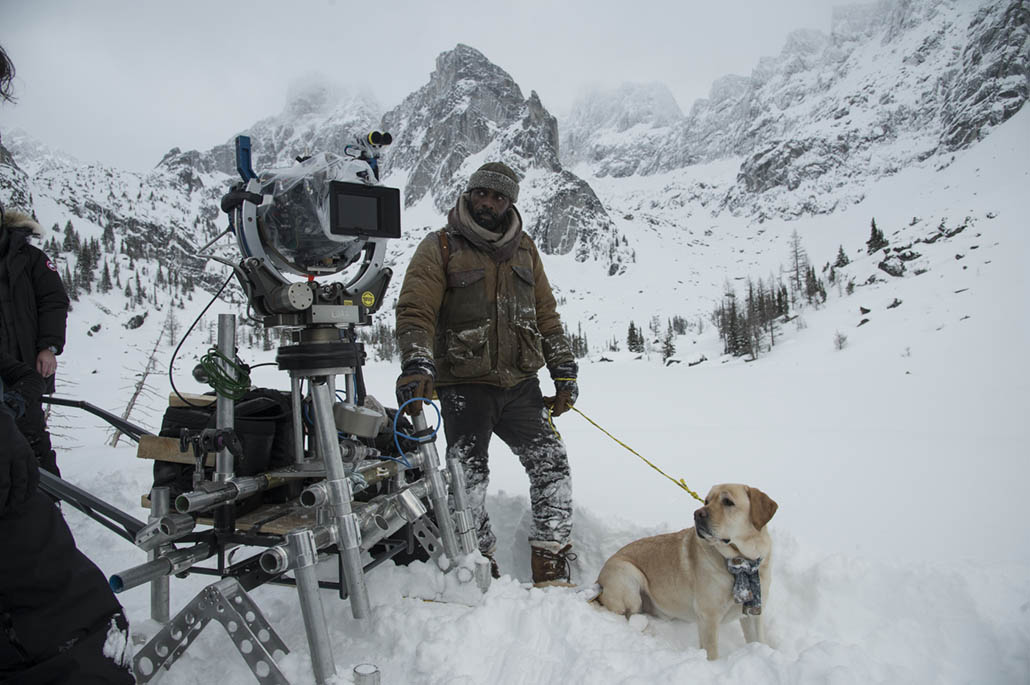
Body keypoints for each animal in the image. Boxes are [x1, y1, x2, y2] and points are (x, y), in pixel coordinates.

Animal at [593, 484, 774, 659]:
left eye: (728, 502)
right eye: (706, 501)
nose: (697, 514)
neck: (743, 563)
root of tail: (599, 582)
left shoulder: (753, 612)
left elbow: (759, 640)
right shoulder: (708, 616)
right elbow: (712, 653)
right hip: (629, 577)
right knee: (626, 615)